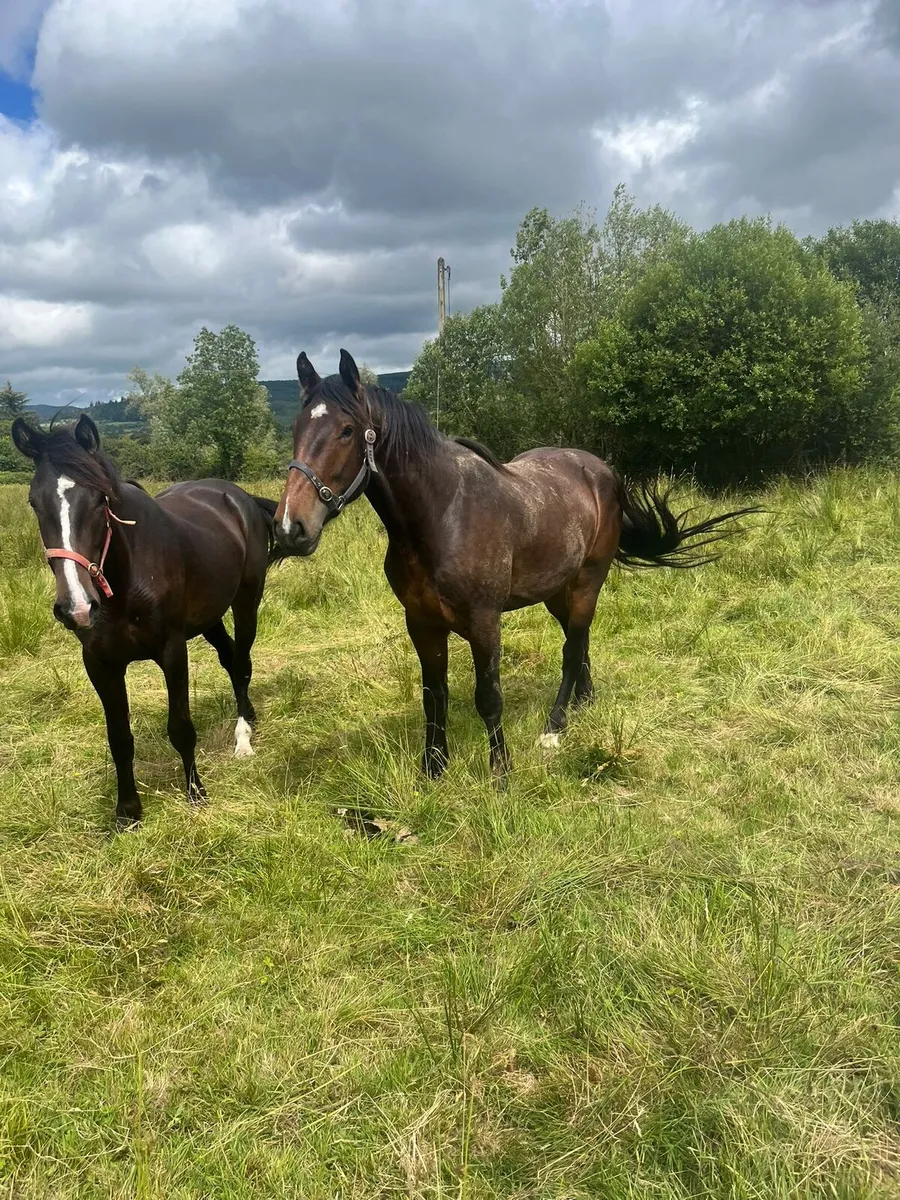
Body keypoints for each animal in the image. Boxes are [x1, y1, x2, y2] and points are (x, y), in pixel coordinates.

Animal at [12, 414, 277, 825]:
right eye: (34, 502)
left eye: (99, 500)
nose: (76, 607)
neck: (126, 577)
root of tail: (240, 497)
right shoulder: (100, 664)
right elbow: (119, 738)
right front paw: (127, 811)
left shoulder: (172, 650)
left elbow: (181, 728)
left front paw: (196, 793)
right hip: (210, 618)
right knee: (230, 657)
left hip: (246, 601)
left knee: (242, 660)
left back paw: (243, 735)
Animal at [272, 349, 757, 783]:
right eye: (296, 427)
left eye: (347, 430)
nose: (291, 527)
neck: (442, 515)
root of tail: (602, 471)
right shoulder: (422, 622)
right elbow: (435, 695)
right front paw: (434, 771)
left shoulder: (484, 621)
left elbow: (488, 696)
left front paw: (501, 774)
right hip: (557, 592)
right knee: (579, 642)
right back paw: (584, 703)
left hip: (587, 582)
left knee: (571, 649)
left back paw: (555, 728)